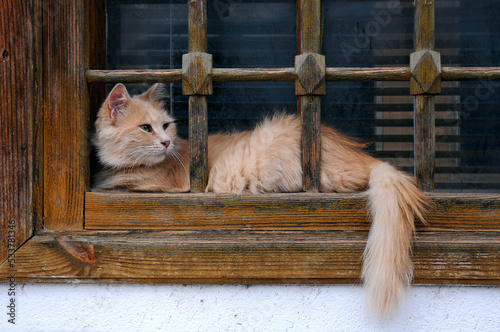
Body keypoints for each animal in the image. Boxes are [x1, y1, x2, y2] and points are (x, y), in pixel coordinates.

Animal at [94, 82, 430, 316]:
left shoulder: (165, 187)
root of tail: (363, 158)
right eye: (146, 128)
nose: (166, 142)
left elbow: (127, 188)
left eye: (165, 125)